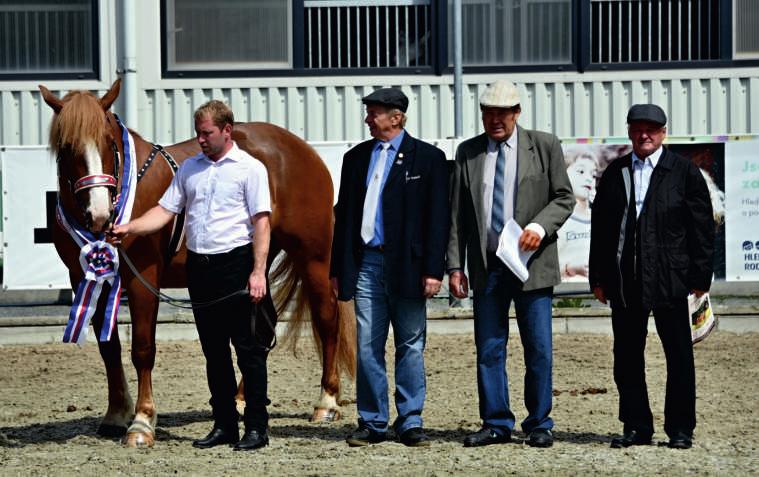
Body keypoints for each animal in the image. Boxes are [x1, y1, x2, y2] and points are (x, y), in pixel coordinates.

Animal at [43, 79, 358, 446]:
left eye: (109, 142)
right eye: (66, 147)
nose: (99, 213)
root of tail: (301, 149)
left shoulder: (142, 277)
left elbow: (142, 348)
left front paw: (142, 422)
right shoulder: (84, 279)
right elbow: (109, 349)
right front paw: (116, 415)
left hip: (313, 257)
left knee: (326, 318)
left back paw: (327, 402)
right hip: (258, 266)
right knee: (261, 329)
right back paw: (242, 397)